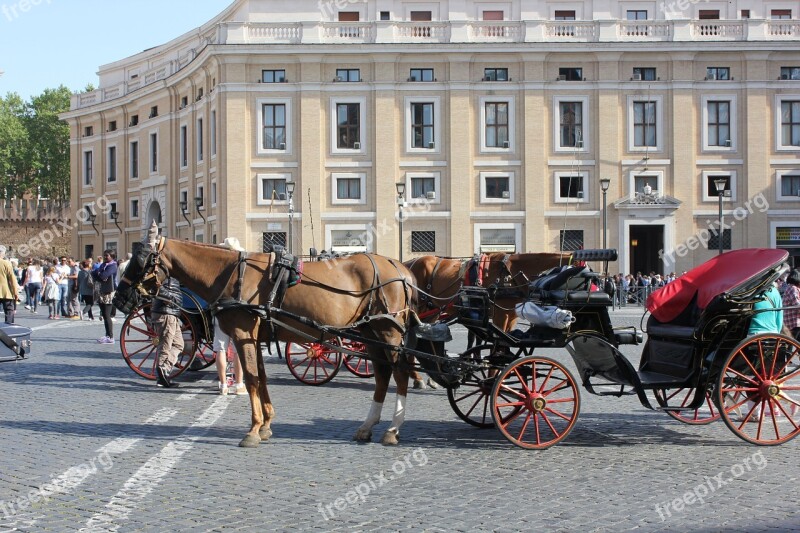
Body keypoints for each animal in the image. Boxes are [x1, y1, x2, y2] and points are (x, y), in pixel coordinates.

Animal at [119, 222, 418, 446]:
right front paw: (266, 425)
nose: (119, 297)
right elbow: (261, 378)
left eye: (140, 259)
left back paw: (393, 429)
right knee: (382, 376)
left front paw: (253, 430)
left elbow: (251, 378)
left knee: (400, 372)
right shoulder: (256, 337)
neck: (230, 274)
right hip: (371, 333)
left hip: (389, 334)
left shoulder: (243, 335)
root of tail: (400, 267)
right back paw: (368, 426)